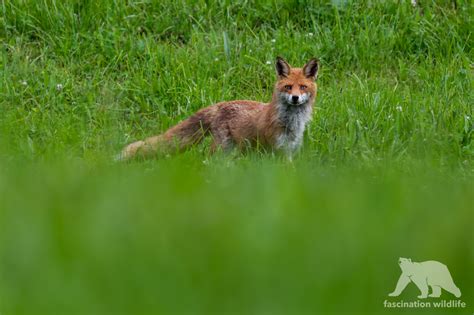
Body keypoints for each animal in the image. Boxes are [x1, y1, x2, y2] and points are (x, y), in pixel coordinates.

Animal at [119, 56, 318, 160]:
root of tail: (218, 105)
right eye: (288, 87)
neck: (291, 124)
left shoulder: (289, 152)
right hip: (222, 149)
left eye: (302, 87)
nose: (295, 98)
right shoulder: (278, 151)